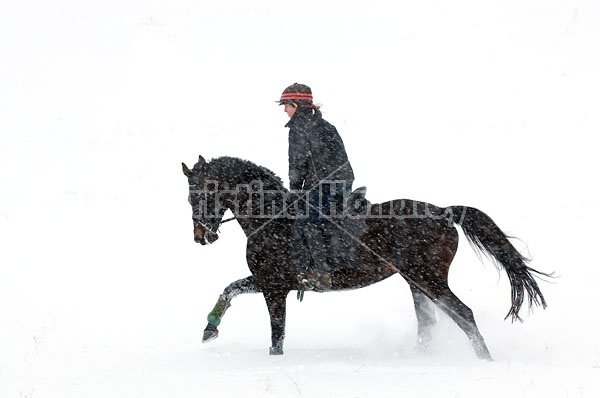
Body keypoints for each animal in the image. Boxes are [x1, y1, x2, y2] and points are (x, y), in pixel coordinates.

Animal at [180, 154, 552, 360]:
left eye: (202, 194)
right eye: (189, 197)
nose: (202, 236)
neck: (272, 217)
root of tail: (444, 212)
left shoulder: (274, 287)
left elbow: (277, 334)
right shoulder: (269, 282)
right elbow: (230, 289)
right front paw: (209, 330)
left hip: (430, 280)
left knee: (464, 315)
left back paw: (484, 360)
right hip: (417, 282)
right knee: (429, 324)